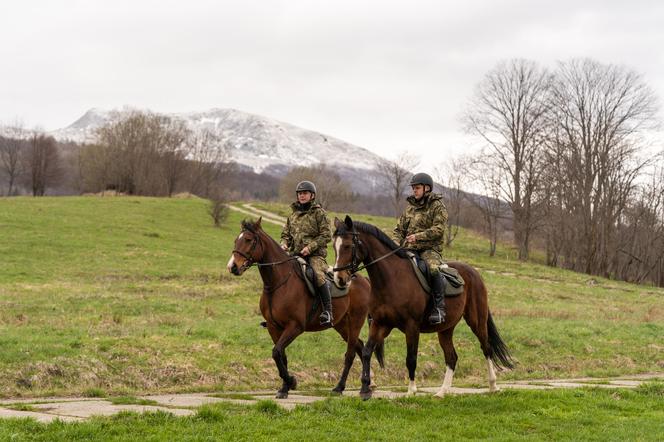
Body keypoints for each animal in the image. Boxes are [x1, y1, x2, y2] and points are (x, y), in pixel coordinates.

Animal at [228, 219, 374, 398]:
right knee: (359, 347)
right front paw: (284, 387)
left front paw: (291, 382)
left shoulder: (295, 326)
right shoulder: (273, 327)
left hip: (355, 322)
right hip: (341, 325)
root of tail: (363, 279)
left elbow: (276, 352)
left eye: (249, 240)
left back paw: (346, 387)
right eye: (236, 240)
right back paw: (362, 385)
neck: (279, 283)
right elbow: (281, 355)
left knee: (351, 353)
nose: (233, 266)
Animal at [332, 217, 512, 400]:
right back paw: (441, 392)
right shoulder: (380, 324)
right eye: (334, 246)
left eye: (348, 245)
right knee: (452, 357)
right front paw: (365, 389)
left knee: (486, 348)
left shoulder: (412, 326)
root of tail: (474, 273)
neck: (392, 279)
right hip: (445, 329)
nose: (339, 279)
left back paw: (493, 386)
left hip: (477, 321)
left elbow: (411, 358)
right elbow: (367, 352)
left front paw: (411, 391)